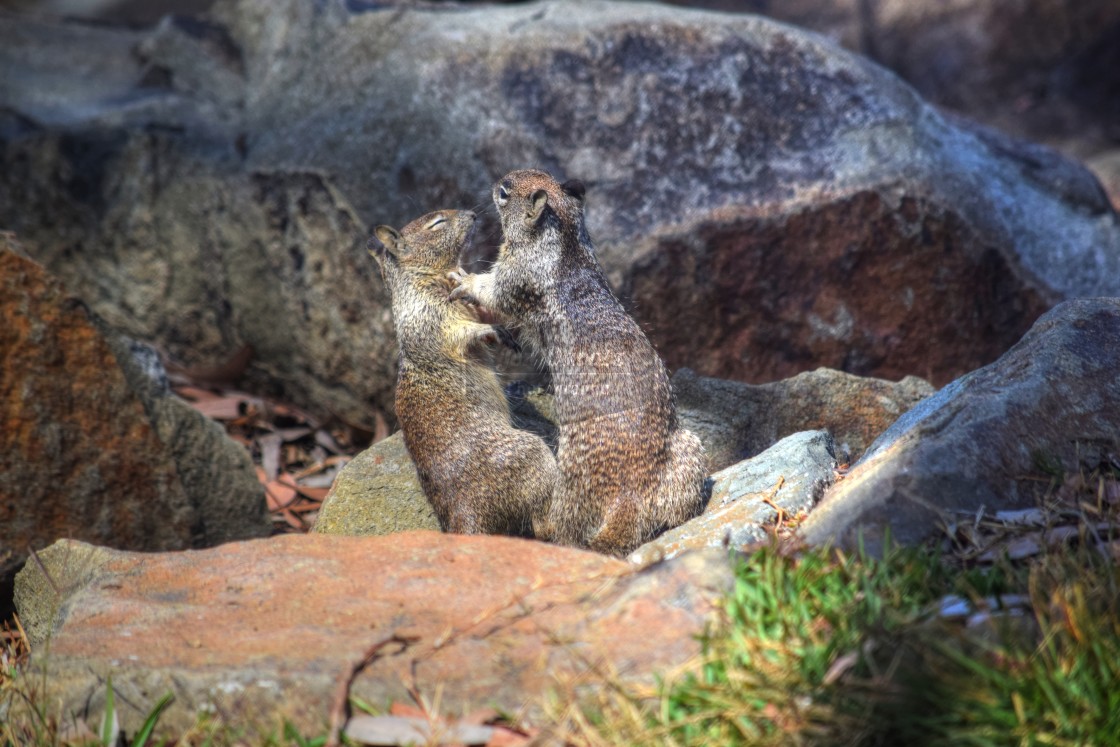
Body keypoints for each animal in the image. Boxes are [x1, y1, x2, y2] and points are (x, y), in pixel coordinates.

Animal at [369, 209, 557, 537]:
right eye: (437, 223)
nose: (471, 214)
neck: (427, 277)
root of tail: (466, 514)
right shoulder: (430, 317)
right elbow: (460, 332)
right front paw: (492, 331)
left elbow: (484, 309)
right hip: (532, 452)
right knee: (543, 525)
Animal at [448, 169, 703, 555]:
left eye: (505, 192)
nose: (494, 183)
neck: (566, 240)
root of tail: (629, 496)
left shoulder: (516, 279)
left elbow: (492, 294)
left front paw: (463, 280)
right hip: (689, 448)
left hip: (568, 480)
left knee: (568, 530)